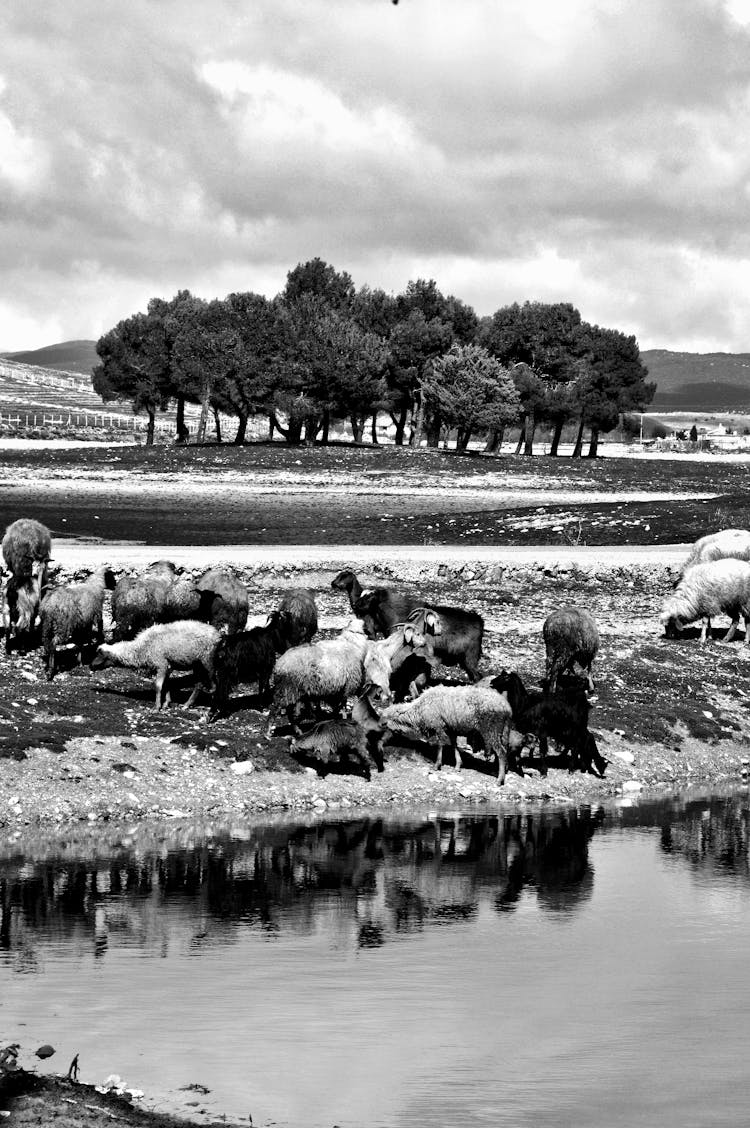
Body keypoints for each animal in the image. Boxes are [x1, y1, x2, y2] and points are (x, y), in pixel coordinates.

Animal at [90, 622, 219, 708]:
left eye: (100, 654)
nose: (90, 666)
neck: (141, 648)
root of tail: (216, 633)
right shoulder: (168, 666)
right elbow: (166, 684)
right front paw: (166, 703)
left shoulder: (161, 663)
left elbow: (158, 685)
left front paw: (157, 707)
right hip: (196, 664)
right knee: (199, 684)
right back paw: (187, 704)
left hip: (207, 659)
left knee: (213, 679)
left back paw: (211, 696)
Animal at [376, 681, 512, 780]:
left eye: (389, 716)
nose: (380, 724)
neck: (419, 710)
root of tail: (506, 707)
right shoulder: (451, 729)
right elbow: (454, 746)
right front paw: (458, 765)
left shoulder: (438, 725)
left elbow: (440, 745)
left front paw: (437, 765)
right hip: (504, 731)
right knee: (505, 749)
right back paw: (503, 770)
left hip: (490, 729)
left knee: (501, 752)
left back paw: (500, 779)